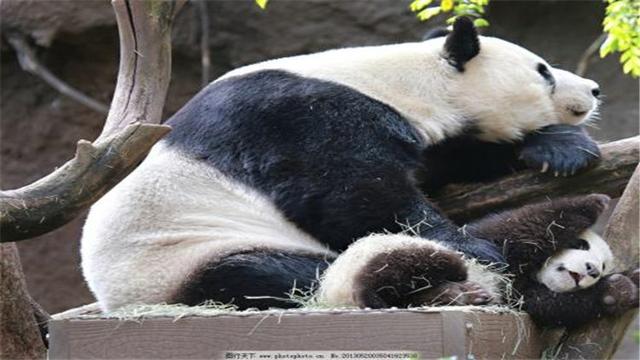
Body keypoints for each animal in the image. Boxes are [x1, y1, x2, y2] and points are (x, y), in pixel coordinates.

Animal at [322, 195, 636, 328]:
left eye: (603, 267)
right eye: (581, 244)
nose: (591, 270)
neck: (532, 273)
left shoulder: (521, 295)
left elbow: (559, 305)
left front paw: (622, 289)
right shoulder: (493, 241)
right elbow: (524, 225)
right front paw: (596, 201)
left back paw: (455, 295)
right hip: (376, 256)